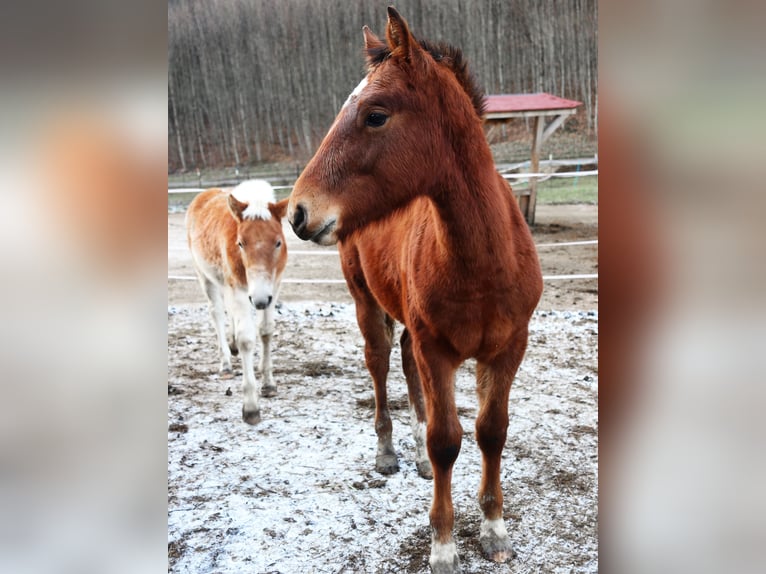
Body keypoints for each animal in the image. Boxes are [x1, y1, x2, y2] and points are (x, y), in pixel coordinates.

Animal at [284, 9, 544, 574]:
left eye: (376, 115)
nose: (297, 212)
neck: (482, 263)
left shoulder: (509, 348)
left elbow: (492, 431)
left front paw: (494, 530)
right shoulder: (437, 350)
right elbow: (447, 439)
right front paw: (443, 546)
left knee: (404, 364)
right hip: (367, 304)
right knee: (381, 363)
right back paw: (387, 452)